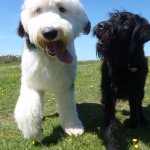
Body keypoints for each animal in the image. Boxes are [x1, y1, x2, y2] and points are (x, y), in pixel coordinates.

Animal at [14, 0, 89, 142]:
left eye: (62, 8)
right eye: (38, 10)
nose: (49, 32)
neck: (49, 58)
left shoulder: (65, 85)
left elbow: (68, 105)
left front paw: (73, 127)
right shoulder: (31, 83)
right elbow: (28, 110)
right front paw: (34, 132)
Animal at [93, 10, 149, 150]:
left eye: (125, 23)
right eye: (112, 18)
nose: (100, 25)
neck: (122, 64)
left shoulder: (136, 91)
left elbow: (134, 109)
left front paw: (132, 123)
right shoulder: (109, 95)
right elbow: (110, 123)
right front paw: (112, 143)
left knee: (139, 106)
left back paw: (143, 119)